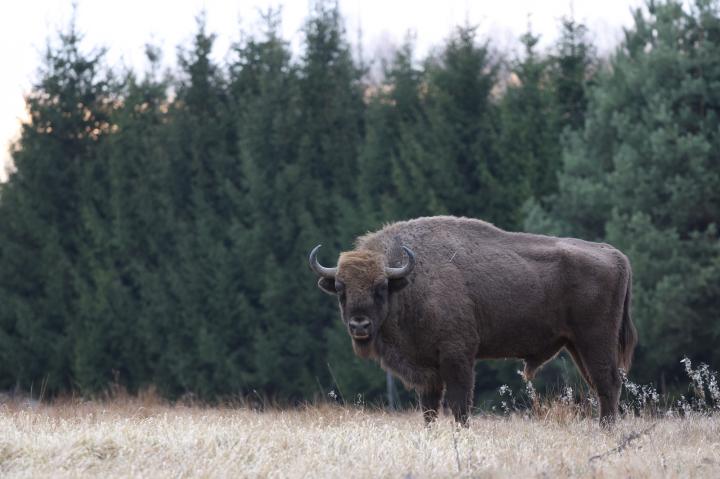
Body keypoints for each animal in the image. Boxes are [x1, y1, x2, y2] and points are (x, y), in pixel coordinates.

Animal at [309, 216, 637, 425]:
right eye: (341, 289)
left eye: (380, 288)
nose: (359, 326)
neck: (408, 281)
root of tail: (616, 255)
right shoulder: (428, 370)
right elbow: (429, 410)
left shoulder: (458, 357)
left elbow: (460, 406)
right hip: (575, 345)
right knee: (601, 385)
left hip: (594, 340)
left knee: (608, 382)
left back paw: (606, 430)